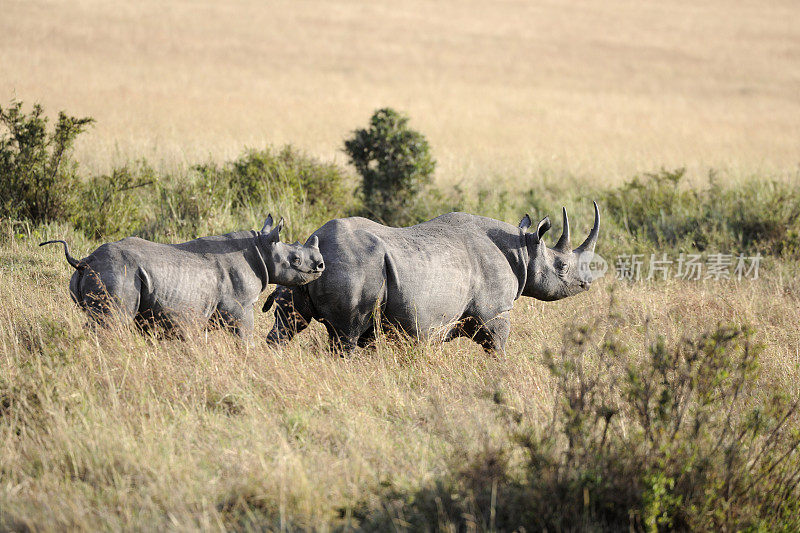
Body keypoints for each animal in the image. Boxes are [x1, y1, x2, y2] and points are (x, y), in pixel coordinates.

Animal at [41, 215, 324, 336]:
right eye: (295, 260)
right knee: (113, 322)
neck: (261, 249)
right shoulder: (240, 305)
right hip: (117, 273)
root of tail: (84, 261)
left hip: (101, 273)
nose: (321, 266)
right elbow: (244, 334)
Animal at [266, 204, 596, 354]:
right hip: (352, 267)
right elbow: (498, 346)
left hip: (306, 265)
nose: (587, 283)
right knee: (347, 336)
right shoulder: (494, 311)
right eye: (562, 267)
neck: (524, 251)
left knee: (290, 323)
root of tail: (316, 239)